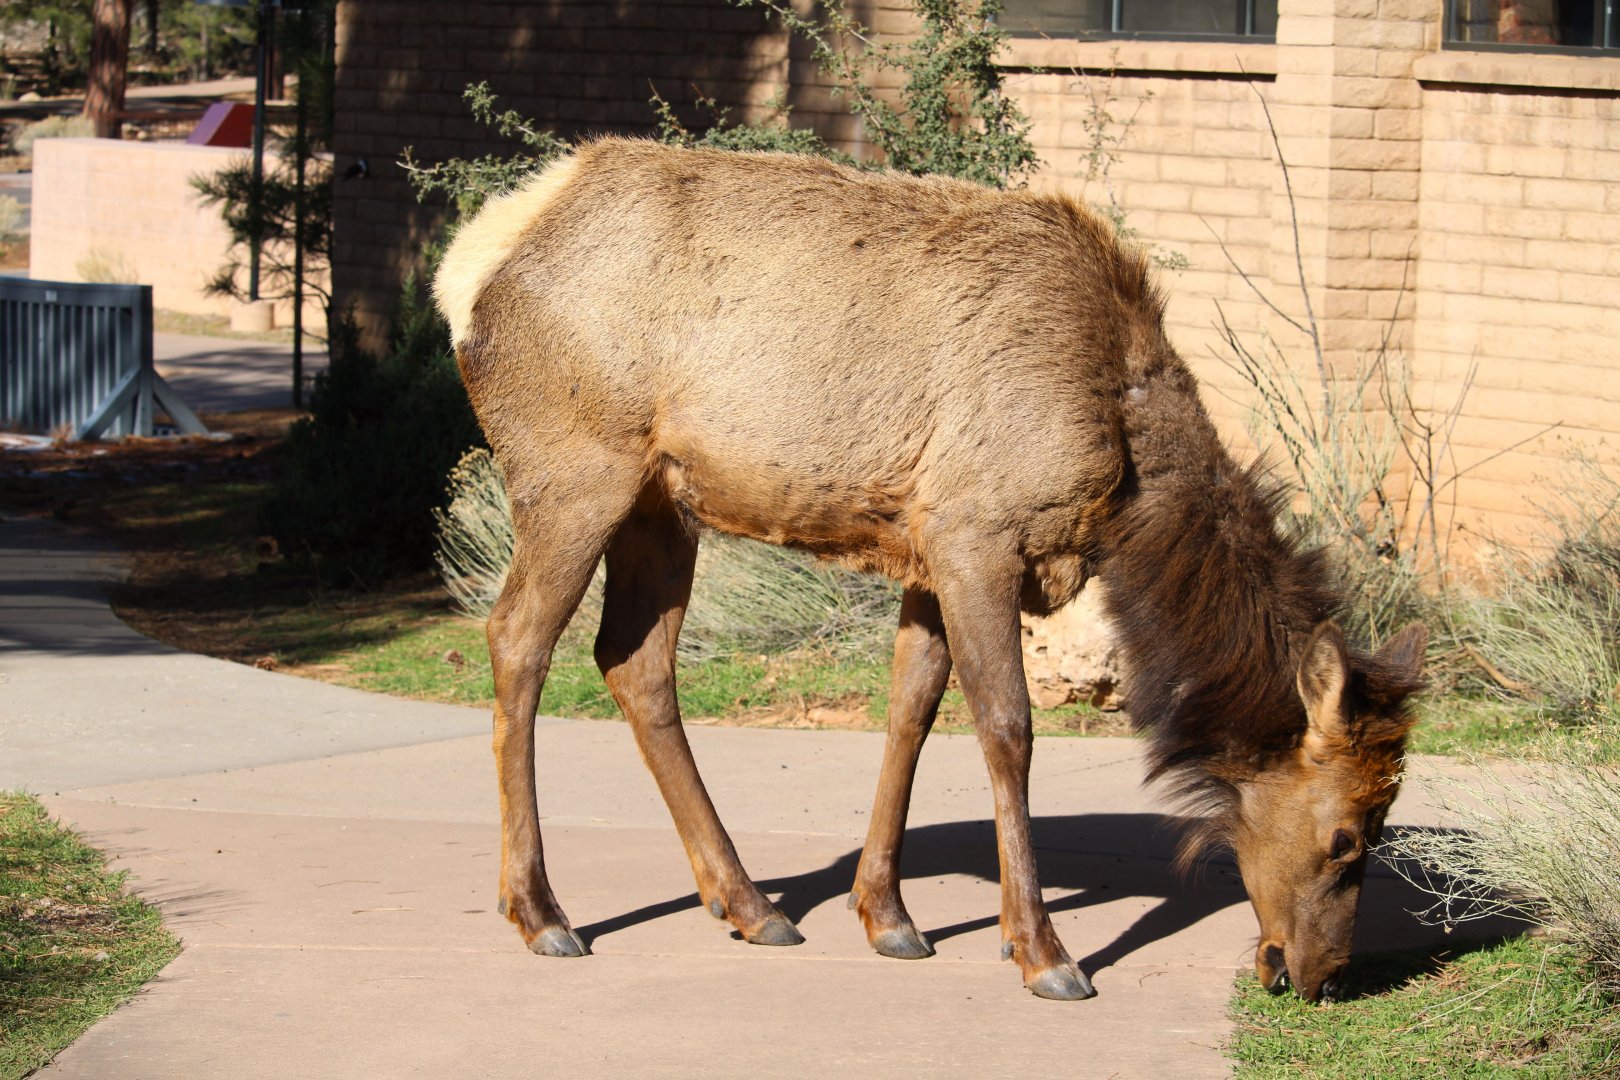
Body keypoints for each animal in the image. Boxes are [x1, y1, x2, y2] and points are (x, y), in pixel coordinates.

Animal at [433, 137, 1427, 1002]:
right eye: (1347, 837)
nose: (1319, 975)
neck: (1120, 466)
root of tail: (469, 266)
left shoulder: (924, 543)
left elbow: (909, 711)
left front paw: (889, 915)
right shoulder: (976, 529)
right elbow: (1008, 726)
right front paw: (1042, 953)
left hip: (661, 500)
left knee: (633, 661)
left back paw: (750, 903)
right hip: (575, 468)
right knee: (517, 637)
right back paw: (542, 912)